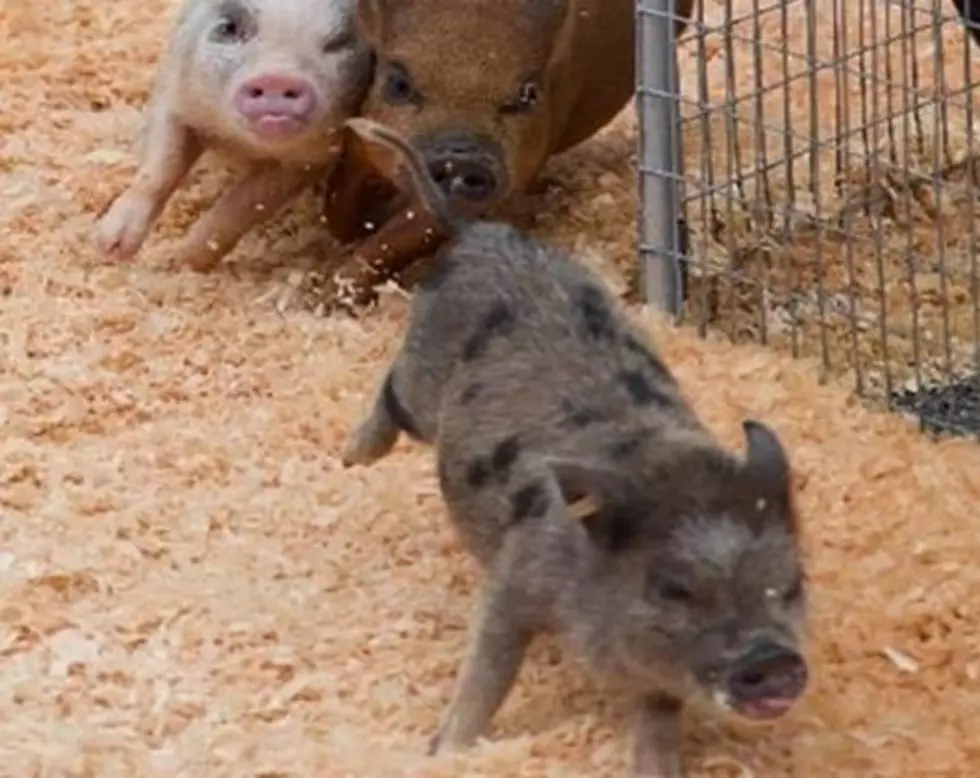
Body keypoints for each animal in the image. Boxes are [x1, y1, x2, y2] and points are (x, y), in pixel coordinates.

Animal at [95, 0, 372, 272]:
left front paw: (179, 261)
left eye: (339, 41)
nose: (277, 77)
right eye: (230, 27)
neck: (242, 143)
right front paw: (111, 246)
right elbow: (160, 168)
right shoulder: (175, 92)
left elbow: (245, 204)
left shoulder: (313, 158)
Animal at [313, 0, 697, 308]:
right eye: (398, 84)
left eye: (527, 94)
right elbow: (338, 207)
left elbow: (399, 237)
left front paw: (332, 299)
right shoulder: (361, 137)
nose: (461, 156)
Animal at [340, 118, 809, 778]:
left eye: (790, 585)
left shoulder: (656, 680)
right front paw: (445, 750)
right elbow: (487, 672)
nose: (772, 658)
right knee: (391, 390)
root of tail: (476, 233)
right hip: (422, 389)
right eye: (674, 587)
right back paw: (349, 457)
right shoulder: (515, 577)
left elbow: (656, 728)